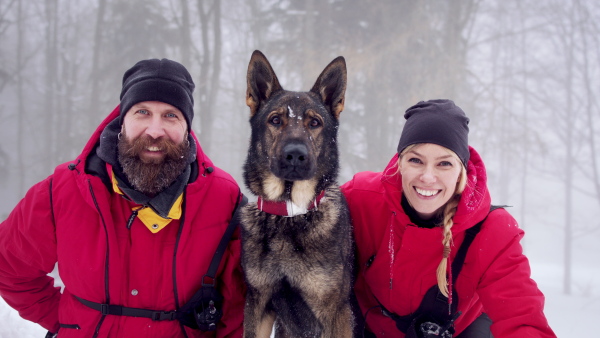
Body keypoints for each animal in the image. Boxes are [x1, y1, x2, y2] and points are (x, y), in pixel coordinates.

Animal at [238, 50, 352, 338]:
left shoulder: (336, 313)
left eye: (314, 123)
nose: (295, 155)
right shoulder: (259, 304)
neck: (289, 213)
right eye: (276, 120)